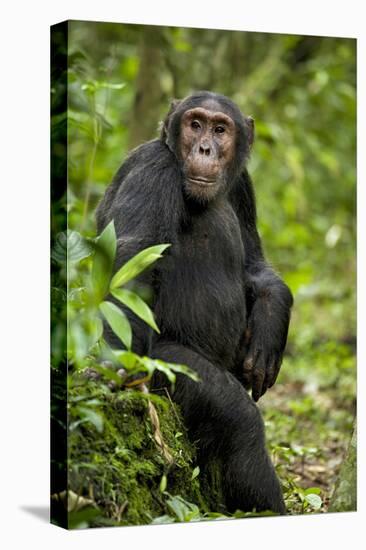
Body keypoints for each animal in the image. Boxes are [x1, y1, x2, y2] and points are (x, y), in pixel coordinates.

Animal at [96, 91, 294, 516]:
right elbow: (133, 261)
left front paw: (269, 330)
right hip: (165, 365)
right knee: (241, 425)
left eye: (220, 129)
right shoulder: (153, 170)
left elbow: (255, 262)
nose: (204, 147)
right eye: (195, 124)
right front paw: (114, 368)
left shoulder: (244, 185)